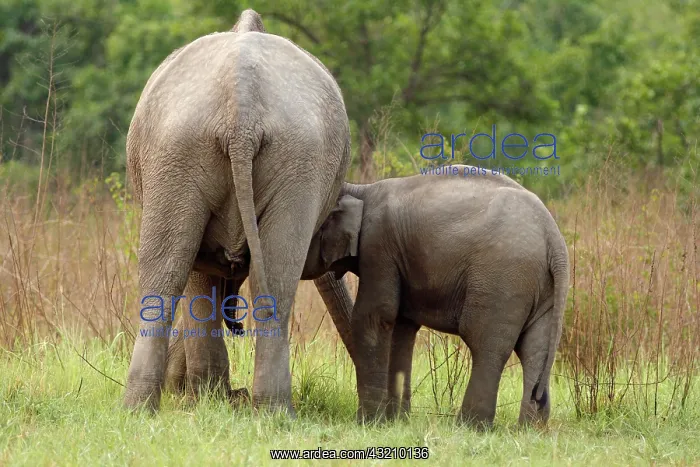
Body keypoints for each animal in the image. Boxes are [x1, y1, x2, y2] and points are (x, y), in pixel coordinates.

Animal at [123, 9, 356, 415]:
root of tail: (241, 101)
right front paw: (212, 398)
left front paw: (210, 398)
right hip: (194, 148)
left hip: (236, 152)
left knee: (173, 273)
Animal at [297, 165, 570, 427]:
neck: (361, 189)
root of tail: (554, 240)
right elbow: (402, 327)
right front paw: (397, 421)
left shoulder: (378, 247)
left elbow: (374, 317)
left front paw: (368, 423)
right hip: (541, 288)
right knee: (534, 350)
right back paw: (529, 429)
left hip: (503, 279)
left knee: (486, 345)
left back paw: (469, 427)